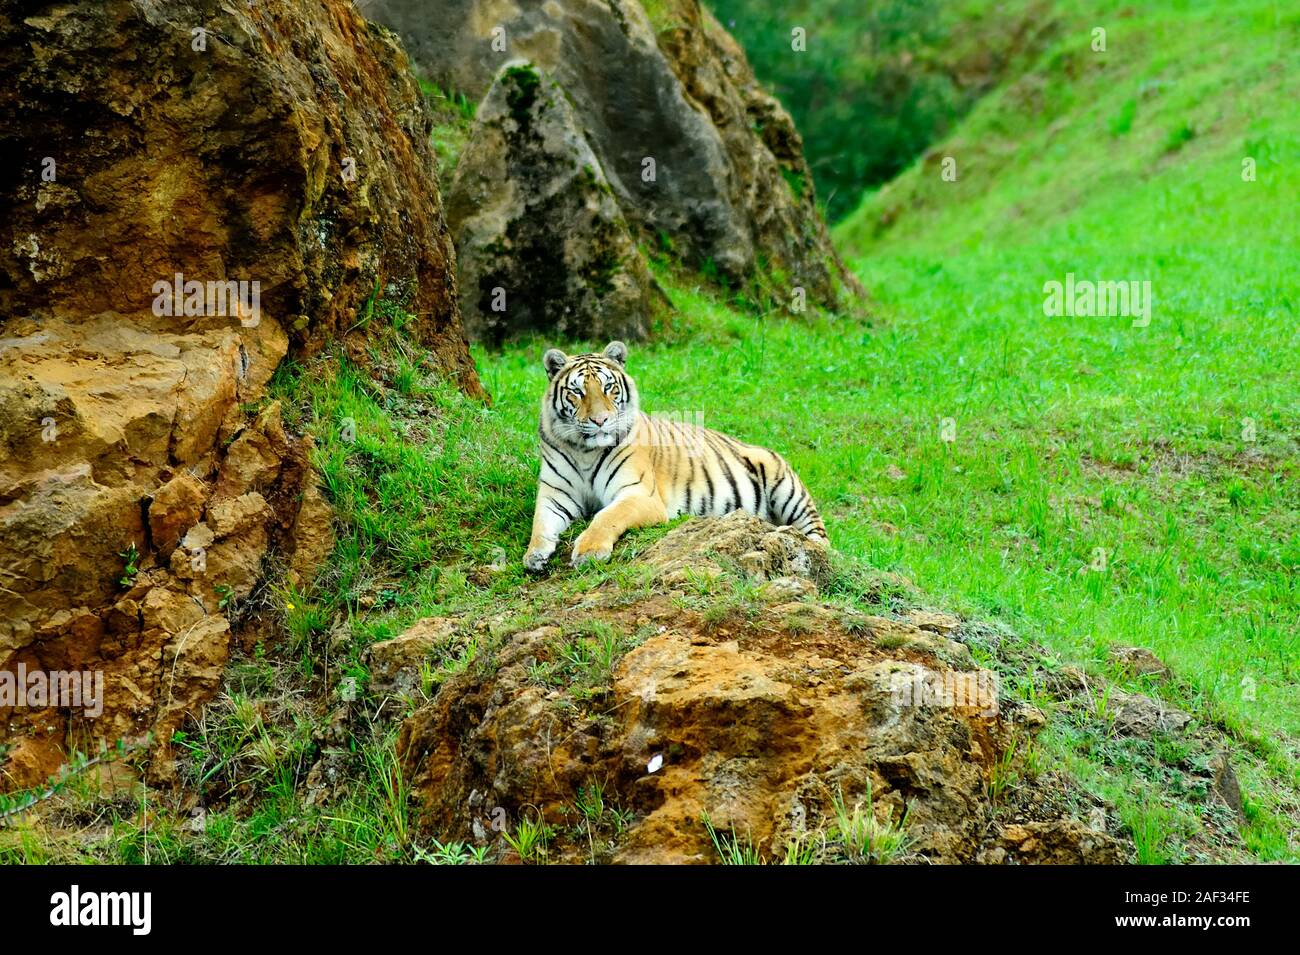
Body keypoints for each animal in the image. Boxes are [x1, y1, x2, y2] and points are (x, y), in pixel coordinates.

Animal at [522, 343, 826, 571]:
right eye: (577, 391)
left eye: (608, 387)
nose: (600, 420)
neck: (585, 450)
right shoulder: (555, 495)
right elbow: (540, 523)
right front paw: (534, 555)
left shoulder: (639, 495)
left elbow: (606, 516)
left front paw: (589, 550)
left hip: (788, 489)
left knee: (819, 538)